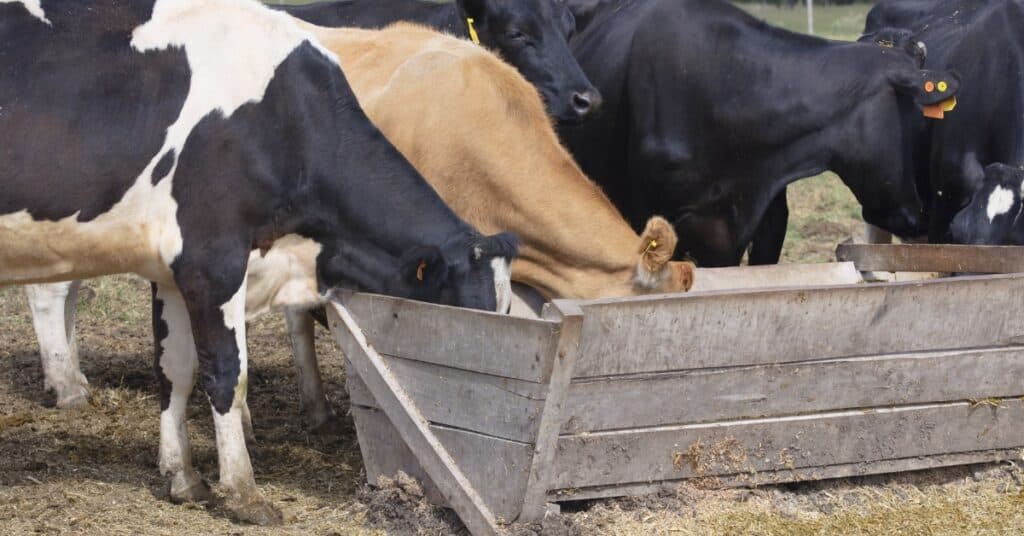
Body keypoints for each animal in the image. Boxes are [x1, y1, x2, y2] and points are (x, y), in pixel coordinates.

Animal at [1, 0, 517, 525]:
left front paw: (184, 477)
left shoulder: (172, 270)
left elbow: (175, 369)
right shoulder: (214, 260)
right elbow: (228, 373)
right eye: (460, 317)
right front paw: (244, 491)